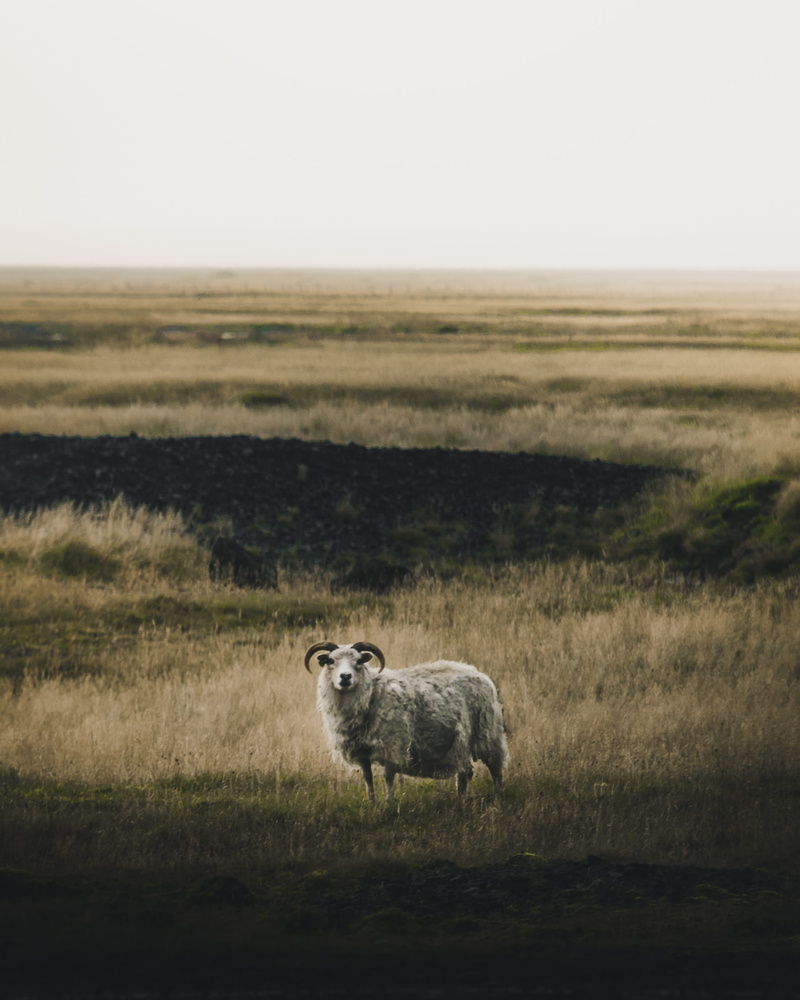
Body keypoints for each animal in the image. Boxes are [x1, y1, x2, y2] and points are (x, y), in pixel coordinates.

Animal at [304, 641, 509, 801]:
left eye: (359, 661)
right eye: (331, 661)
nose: (345, 677)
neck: (371, 694)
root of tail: (481, 674)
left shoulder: (391, 746)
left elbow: (388, 778)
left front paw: (389, 805)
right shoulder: (362, 752)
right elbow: (368, 780)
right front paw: (372, 804)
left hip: (488, 733)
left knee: (495, 767)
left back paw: (498, 797)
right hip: (460, 744)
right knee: (464, 772)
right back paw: (461, 799)